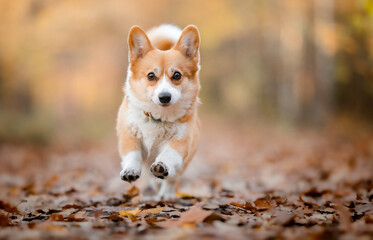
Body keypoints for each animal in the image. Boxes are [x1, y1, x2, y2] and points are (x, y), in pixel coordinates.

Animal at [116, 24, 201, 199]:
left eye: (177, 75)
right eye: (151, 76)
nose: (164, 97)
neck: (158, 118)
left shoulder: (180, 143)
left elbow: (168, 155)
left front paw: (161, 166)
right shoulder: (128, 135)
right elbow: (132, 154)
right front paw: (130, 170)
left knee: (170, 180)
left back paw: (165, 195)